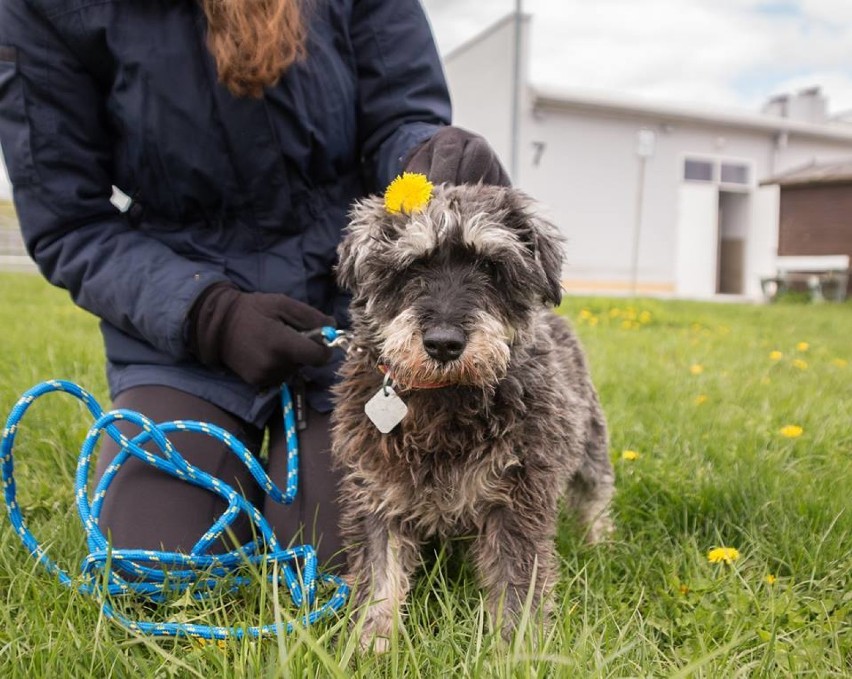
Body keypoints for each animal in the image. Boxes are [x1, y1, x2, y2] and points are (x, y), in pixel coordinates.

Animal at [330, 183, 616, 652]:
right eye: (413, 265)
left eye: (490, 266)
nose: (444, 344)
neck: (444, 401)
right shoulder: (377, 495)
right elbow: (379, 578)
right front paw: (371, 645)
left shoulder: (516, 501)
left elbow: (517, 582)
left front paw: (518, 651)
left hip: (591, 445)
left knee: (596, 494)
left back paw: (601, 541)